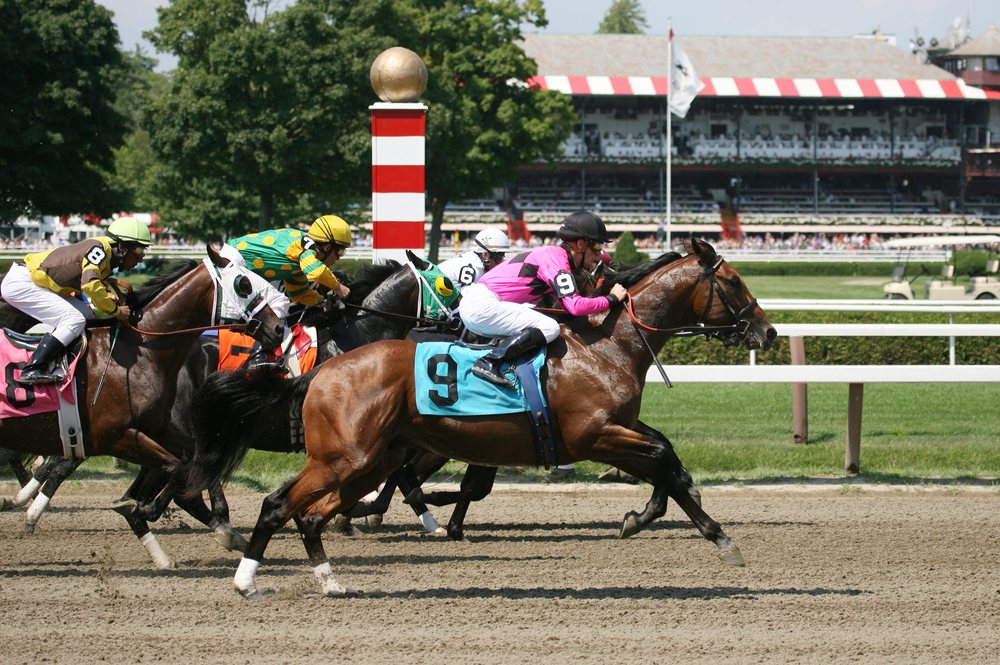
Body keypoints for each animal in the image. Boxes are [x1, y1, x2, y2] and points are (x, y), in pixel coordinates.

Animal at [0, 245, 286, 564]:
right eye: (244, 284)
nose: (277, 328)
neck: (138, 352)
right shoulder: (114, 436)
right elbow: (176, 468)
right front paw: (142, 509)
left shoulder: (158, 429)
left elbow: (187, 463)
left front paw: (146, 520)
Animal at [191, 240, 776, 596]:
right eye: (736, 283)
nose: (767, 332)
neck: (608, 345)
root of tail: (321, 372)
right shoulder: (595, 435)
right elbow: (662, 459)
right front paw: (716, 536)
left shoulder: (615, 429)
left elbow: (668, 459)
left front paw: (650, 517)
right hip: (346, 457)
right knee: (277, 504)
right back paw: (245, 578)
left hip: (370, 459)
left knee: (313, 513)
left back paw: (330, 577)